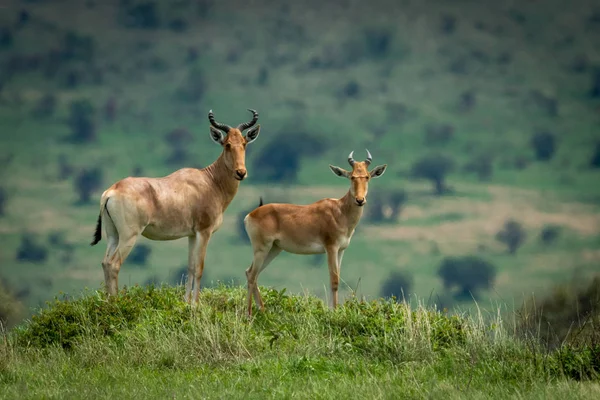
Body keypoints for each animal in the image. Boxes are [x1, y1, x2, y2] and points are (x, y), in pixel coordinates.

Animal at [89, 109, 260, 304]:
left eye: (244, 143)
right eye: (227, 144)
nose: (241, 172)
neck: (210, 181)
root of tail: (111, 191)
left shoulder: (192, 234)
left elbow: (191, 267)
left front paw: (186, 303)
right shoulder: (204, 232)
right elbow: (199, 268)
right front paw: (196, 304)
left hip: (113, 235)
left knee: (105, 262)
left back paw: (108, 301)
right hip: (129, 235)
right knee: (114, 264)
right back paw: (116, 302)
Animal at [245, 149, 390, 316]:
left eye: (367, 176)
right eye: (352, 176)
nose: (360, 200)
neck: (339, 210)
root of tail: (250, 214)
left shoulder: (340, 250)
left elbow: (336, 278)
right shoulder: (330, 248)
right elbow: (334, 280)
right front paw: (334, 312)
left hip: (274, 249)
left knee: (252, 273)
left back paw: (262, 310)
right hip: (261, 248)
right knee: (251, 274)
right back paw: (248, 314)